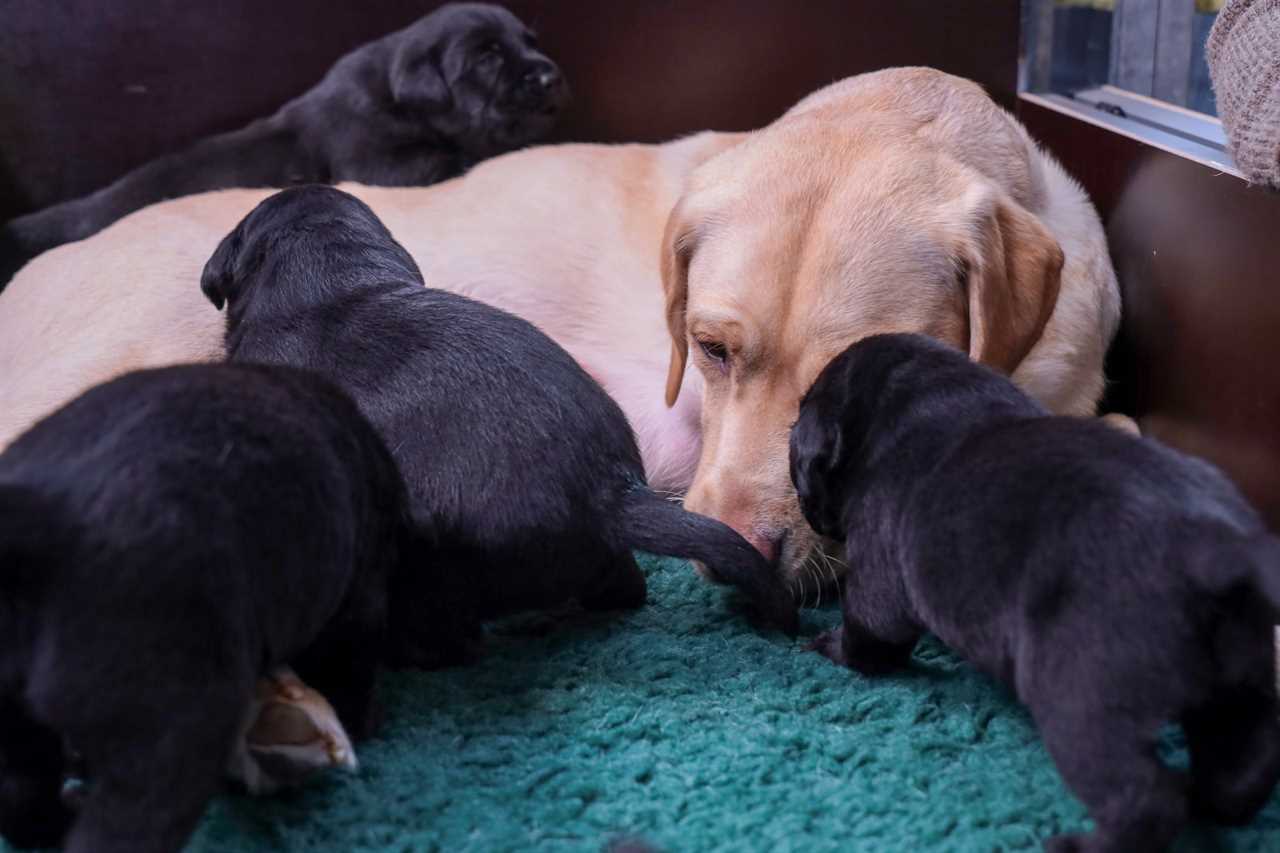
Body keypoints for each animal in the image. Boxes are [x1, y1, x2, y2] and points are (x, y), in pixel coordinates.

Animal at [0, 2, 565, 285]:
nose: (550, 75)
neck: (393, 88)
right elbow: (454, 154)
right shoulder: (376, 159)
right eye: (487, 57)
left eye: (531, 43)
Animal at [788, 333, 1280, 850]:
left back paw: (1080, 843)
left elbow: (868, 632)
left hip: (1082, 701)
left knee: (1145, 796)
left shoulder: (877, 573)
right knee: (1247, 753)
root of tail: (1220, 549)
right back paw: (1214, 803)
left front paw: (829, 646)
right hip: (1239, 676)